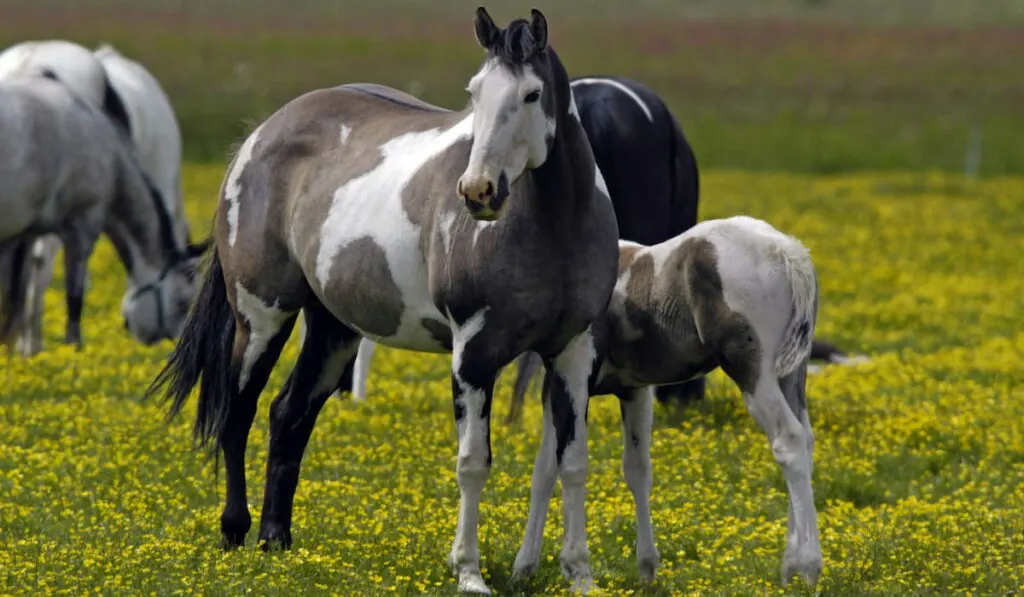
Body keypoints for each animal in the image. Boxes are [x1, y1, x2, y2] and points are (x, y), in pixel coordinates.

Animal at [149, 7, 618, 593]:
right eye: (475, 92)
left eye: (532, 95)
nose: (478, 192)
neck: (555, 225)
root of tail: (261, 135)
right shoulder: (474, 355)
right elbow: (473, 462)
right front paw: (469, 573)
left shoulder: (574, 354)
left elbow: (573, 462)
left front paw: (581, 577)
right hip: (261, 317)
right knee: (239, 412)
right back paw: (235, 529)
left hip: (334, 332)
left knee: (288, 415)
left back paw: (276, 540)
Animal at [520, 216, 823, 589]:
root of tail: (786, 251)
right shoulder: (627, 391)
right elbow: (578, 470)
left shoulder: (571, 378)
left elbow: (568, 466)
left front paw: (574, 569)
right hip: (790, 375)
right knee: (806, 441)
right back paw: (791, 565)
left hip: (754, 375)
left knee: (788, 441)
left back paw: (807, 565)